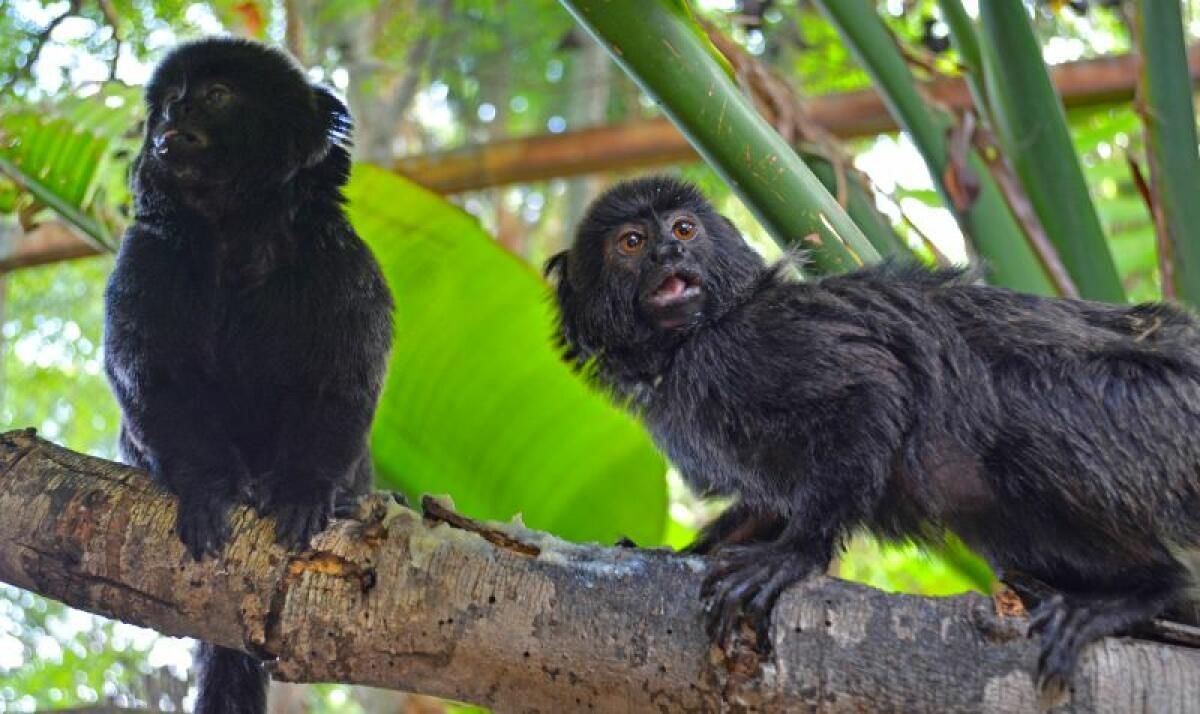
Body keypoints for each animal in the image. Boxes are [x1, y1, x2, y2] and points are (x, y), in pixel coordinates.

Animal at [103, 37, 393, 714]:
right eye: (168, 101)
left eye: (215, 96)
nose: (175, 118)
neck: (235, 230)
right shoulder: (145, 252)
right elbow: (152, 377)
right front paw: (209, 486)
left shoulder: (339, 258)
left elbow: (342, 384)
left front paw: (305, 490)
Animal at [549, 176, 1200, 696]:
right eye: (633, 243)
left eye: (684, 229)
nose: (669, 251)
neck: (684, 346)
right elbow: (766, 499)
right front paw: (685, 551)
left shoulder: (748, 347)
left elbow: (871, 386)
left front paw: (793, 555)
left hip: (1145, 411)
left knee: (1011, 412)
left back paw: (1139, 592)